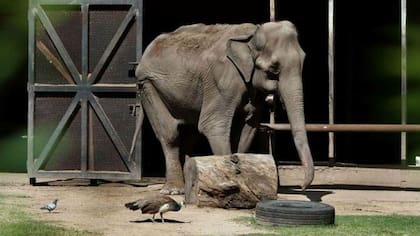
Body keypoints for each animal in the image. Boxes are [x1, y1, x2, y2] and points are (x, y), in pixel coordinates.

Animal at [133, 20, 314, 195]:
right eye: (274, 68)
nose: (302, 186)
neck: (252, 35)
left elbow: (247, 129)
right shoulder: (222, 80)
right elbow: (214, 125)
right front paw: (231, 187)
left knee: (190, 135)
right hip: (149, 87)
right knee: (170, 135)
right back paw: (173, 190)